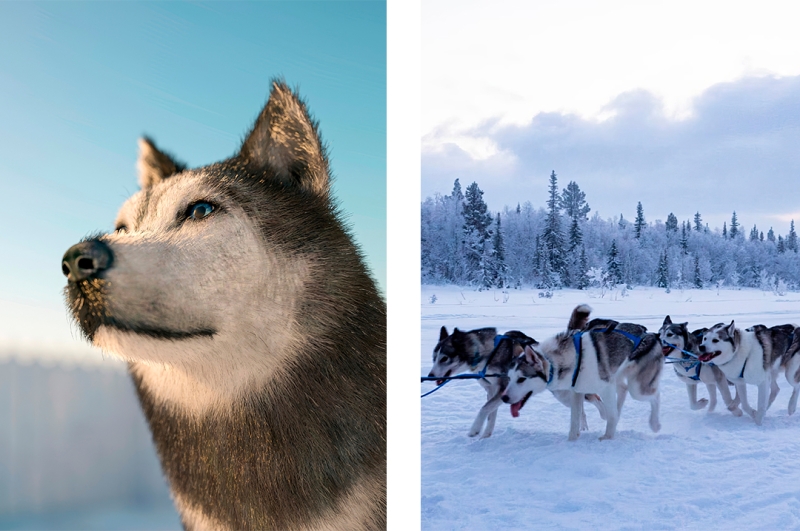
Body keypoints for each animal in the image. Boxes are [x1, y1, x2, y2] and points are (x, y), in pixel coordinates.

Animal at [428, 326, 604, 438]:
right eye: (434, 358)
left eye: (444, 358)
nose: (430, 375)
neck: (490, 353)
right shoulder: (492, 392)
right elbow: (491, 415)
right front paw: (486, 436)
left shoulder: (501, 391)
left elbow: (484, 409)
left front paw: (475, 430)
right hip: (564, 396)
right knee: (581, 408)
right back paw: (582, 426)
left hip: (566, 394)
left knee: (594, 398)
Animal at [504, 306, 664, 442]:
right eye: (509, 378)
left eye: (521, 379)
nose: (504, 398)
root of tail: (649, 333)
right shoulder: (577, 392)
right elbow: (575, 420)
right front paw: (571, 441)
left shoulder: (605, 388)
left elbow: (610, 415)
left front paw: (608, 438)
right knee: (623, 391)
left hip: (637, 388)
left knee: (655, 395)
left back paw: (655, 424)